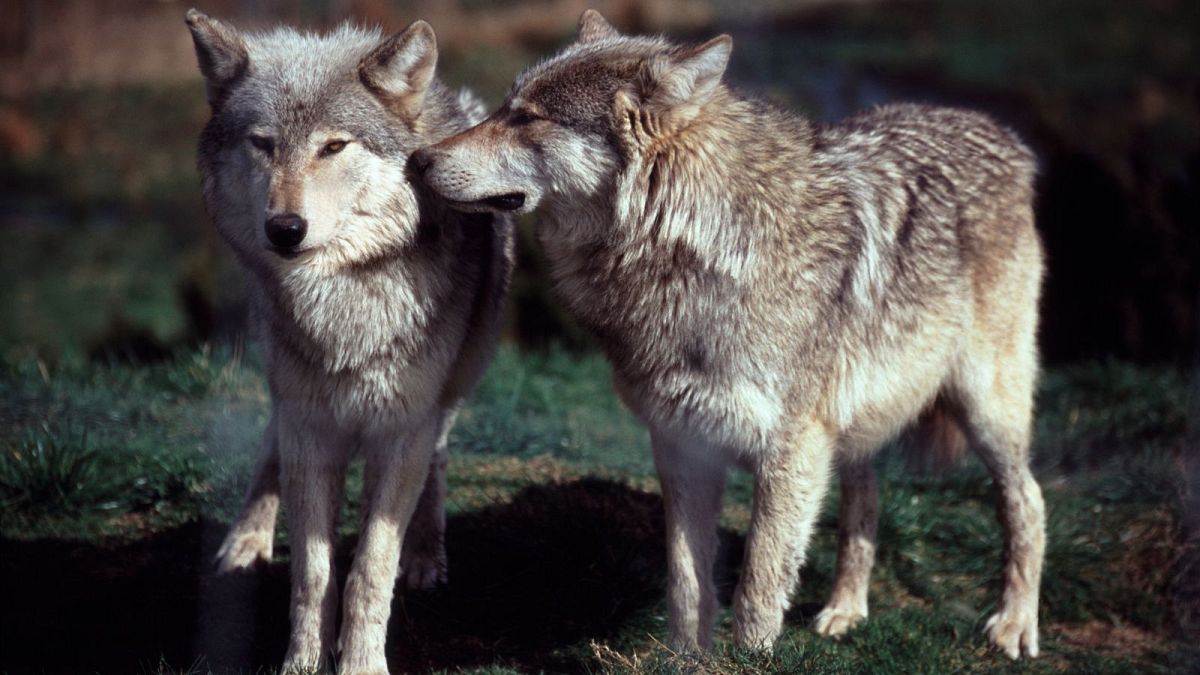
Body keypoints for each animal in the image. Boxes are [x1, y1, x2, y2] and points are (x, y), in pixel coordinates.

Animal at [186, 10, 513, 673]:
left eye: (334, 146)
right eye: (263, 144)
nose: (285, 229)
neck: (343, 300)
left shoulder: (403, 428)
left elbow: (369, 569)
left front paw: (361, 661)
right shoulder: (310, 422)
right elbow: (314, 574)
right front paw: (302, 662)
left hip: (453, 385)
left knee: (437, 457)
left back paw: (426, 555)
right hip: (287, 384)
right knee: (270, 444)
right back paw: (246, 539)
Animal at [414, 9, 1046, 659]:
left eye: (528, 117)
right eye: (504, 107)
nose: (417, 160)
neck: (692, 251)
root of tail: (998, 132)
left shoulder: (789, 451)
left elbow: (758, 588)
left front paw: (750, 659)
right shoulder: (681, 443)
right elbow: (688, 583)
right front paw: (686, 658)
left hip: (983, 409)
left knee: (1029, 502)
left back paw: (1014, 624)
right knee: (865, 498)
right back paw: (845, 610)